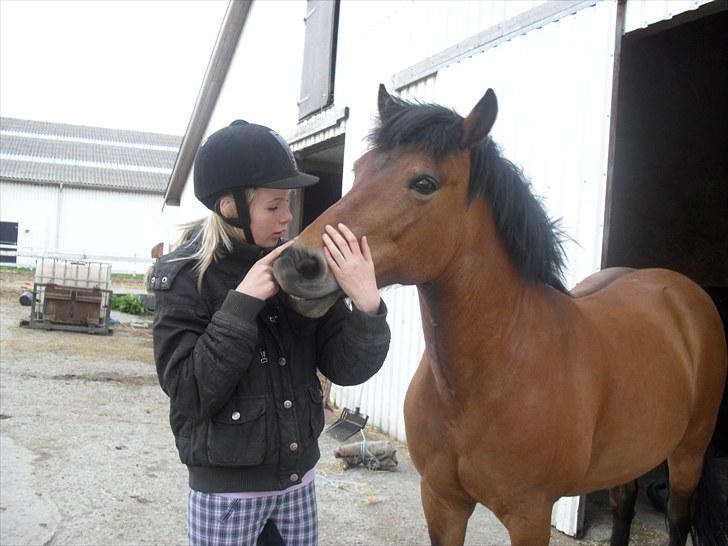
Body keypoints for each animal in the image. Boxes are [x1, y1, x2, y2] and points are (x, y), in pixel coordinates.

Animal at [274, 86, 728, 544]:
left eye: (424, 182)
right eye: (360, 169)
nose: (297, 263)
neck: (493, 372)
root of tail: (684, 294)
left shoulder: (530, 516)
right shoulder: (441, 502)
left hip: (687, 454)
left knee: (677, 520)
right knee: (624, 505)